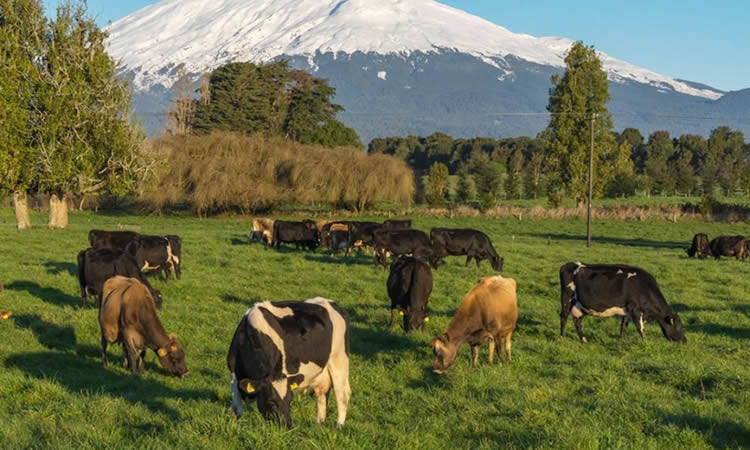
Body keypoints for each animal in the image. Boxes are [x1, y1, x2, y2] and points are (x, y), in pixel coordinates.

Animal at [228, 298, 354, 428]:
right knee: (322, 393)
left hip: (339, 359)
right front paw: (233, 427)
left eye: (290, 399)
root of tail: (331, 303)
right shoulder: (233, 375)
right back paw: (319, 423)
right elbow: (236, 410)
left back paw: (339, 425)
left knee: (342, 394)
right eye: (271, 402)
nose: (288, 425)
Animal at [560, 262, 692, 342]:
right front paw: (645, 343)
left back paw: (583, 340)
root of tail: (568, 265)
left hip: (578, 305)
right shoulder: (635, 310)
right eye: (679, 327)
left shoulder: (627, 311)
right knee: (564, 317)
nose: (685, 341)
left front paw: (620, 341)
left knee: (577, 321)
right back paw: (562, 339)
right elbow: (640, 329)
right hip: (567, 297)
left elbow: (623, 327)